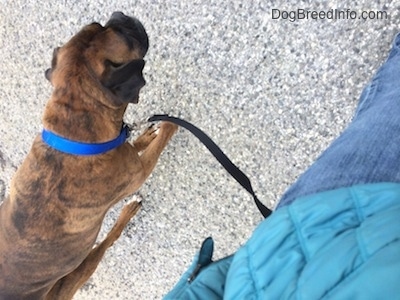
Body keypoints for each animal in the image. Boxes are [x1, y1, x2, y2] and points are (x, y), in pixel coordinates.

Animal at [0, 12, 178, 300]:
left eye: (99, 24)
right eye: (125, 36)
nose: (120, 15)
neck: (73, 132)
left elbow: (134, 143)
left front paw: (147, 133)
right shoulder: (139, 171)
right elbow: (159, 143)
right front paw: (170, 126)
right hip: (78, 273)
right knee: (106, 243)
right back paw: (129, 210)